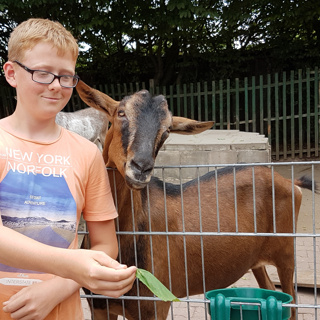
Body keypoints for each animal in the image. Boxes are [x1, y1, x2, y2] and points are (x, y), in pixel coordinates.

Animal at [75, 80, 312, 320]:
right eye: (121, 113)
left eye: (167, 130)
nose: (141, 168)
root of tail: (289, 182)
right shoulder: (99, 305)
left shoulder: (156, 304)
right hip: (256, 260)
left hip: (286, 254)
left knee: (292, 304)